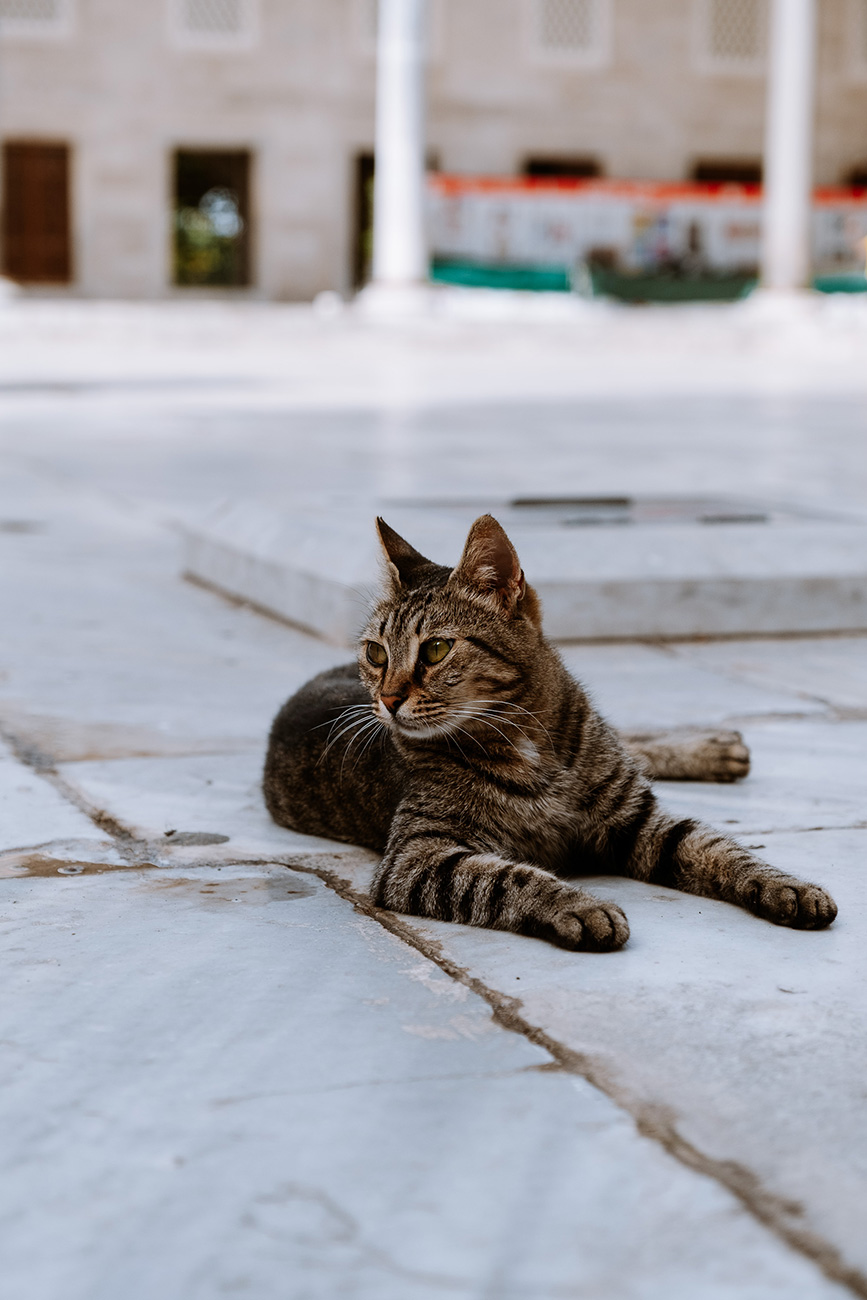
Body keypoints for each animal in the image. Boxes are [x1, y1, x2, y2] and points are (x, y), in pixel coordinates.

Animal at [262, 512, 831, 951]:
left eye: (437, 649)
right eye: (377, 654)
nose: (387, 699)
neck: (531, 743)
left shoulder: (635, 819)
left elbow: (720, 849)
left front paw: (788, 886)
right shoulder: (415, 857)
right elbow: (501, 876)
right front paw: (578, 906)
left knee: (633, 745)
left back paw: (715, 748)